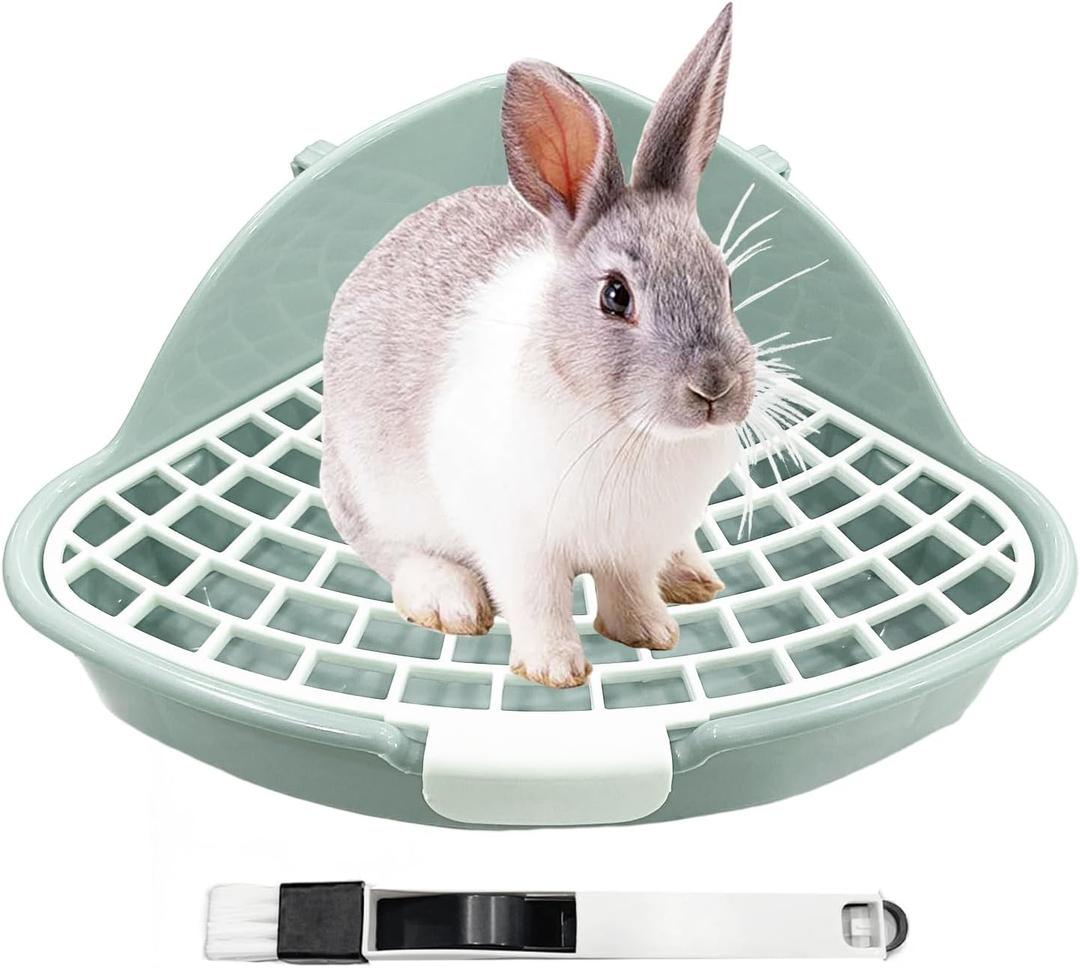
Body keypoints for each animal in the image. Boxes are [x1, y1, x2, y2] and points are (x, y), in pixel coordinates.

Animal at [322, 3, 754, 688]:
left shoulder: (632, 546)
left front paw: (651, 634)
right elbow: (538, 601)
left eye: (727, 282)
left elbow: (629, 589)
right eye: (615, 296)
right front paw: (555, 670)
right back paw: (448, 600)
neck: (627, 432)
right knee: (393, 553)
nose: (715, 388)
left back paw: (690, 575)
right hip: (371, 494)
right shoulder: (518, 544)